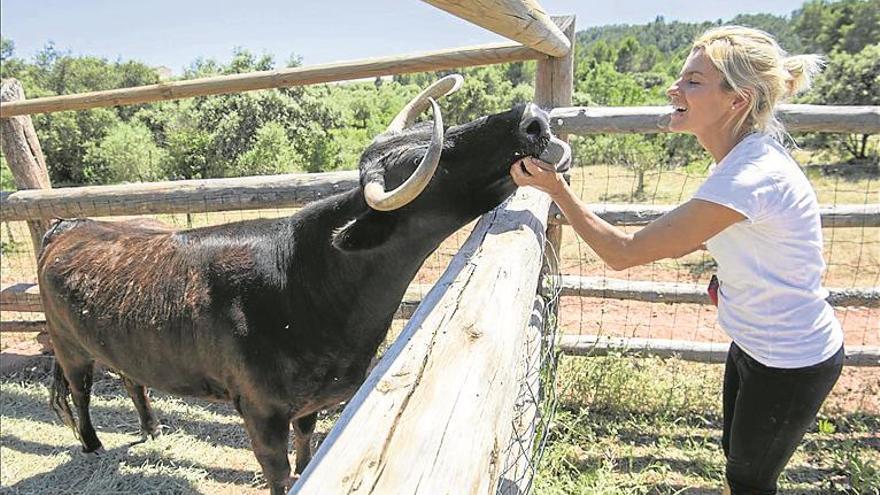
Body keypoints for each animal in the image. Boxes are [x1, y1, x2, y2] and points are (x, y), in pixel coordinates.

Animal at [36, 74, 564, 495]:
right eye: (433, 163)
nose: (531, 119)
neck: (305, 285)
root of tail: (70, 223)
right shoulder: (261, 412)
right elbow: (279, 472)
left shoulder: (312, 401)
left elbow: (307, 446)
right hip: (68, 345)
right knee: (81, 393)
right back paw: (93, 446)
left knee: (132, 378)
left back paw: (152, 429)